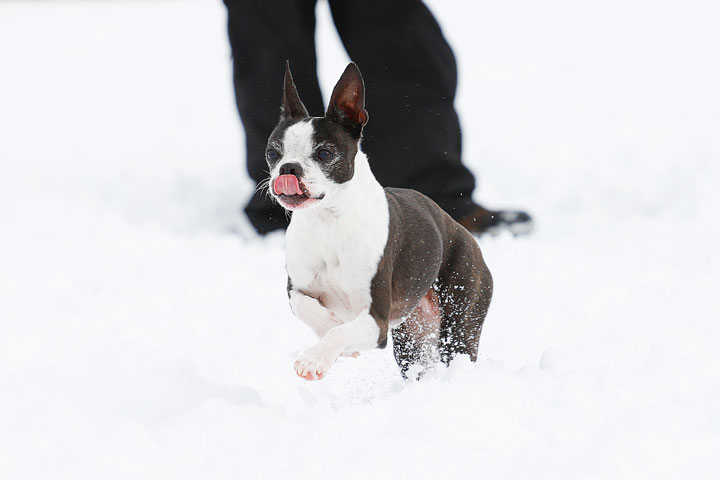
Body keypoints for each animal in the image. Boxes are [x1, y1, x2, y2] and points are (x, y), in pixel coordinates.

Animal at [268, 62, 492, 378]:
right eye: (272, 153)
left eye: (324, 153)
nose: (288, 168)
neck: (328, 222)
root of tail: (462, 231)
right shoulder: (298, 287)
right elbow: (305, 307)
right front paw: (330, 333)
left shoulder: (376, 322)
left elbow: (341, 332)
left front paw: (315, 359)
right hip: (412, 338)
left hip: (461, 318)